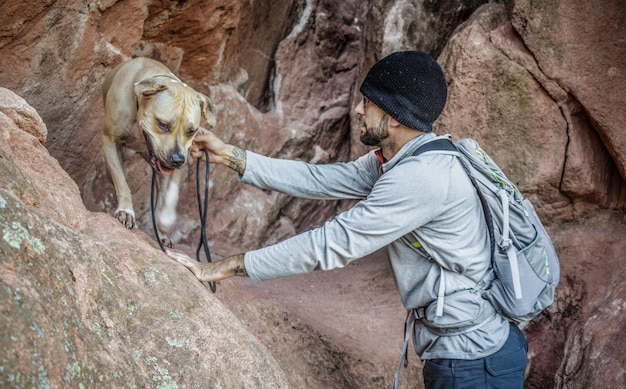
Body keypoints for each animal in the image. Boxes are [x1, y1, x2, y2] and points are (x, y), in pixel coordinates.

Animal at [101, 57, 216, 246]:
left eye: (191, 131)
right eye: (162, 124)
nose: (177, 159)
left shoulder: (181, 163)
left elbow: (169, 194)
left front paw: (165, 220)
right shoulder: (110, 140)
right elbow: (122, 182)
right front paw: (126, 211)